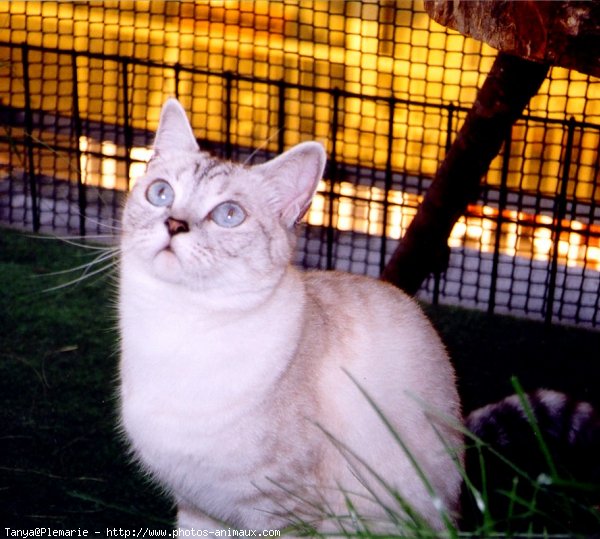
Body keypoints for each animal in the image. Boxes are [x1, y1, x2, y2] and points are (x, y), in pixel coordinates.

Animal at [118, 98, 464, 536]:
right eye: (160, 193)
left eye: (229, 215)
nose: (174, 223)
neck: (175, 326)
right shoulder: (199, 509)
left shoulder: (284, 510)